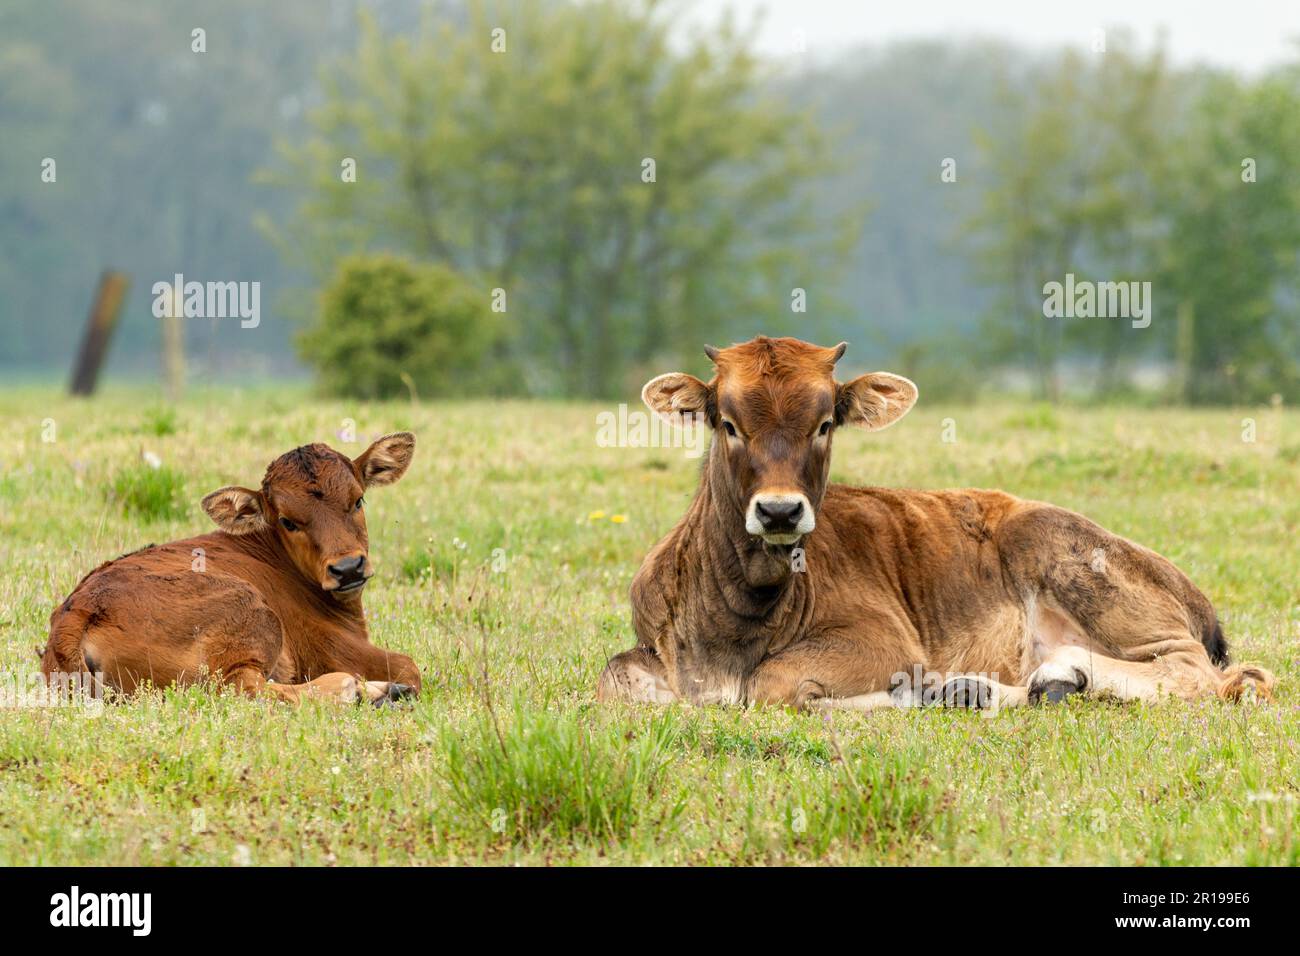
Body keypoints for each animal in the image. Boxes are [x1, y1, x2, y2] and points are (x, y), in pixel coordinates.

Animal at [41, 433, 422, 705]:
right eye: (287, 521)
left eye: (358, 500)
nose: (348, 568)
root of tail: (77, 611)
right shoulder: (329, 647)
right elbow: (409, 666)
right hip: (253, 615)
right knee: (244, 688)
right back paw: (369, 691)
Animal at [597, 337, 1274, 711]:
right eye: (729, 423)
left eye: (825, 423)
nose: (780, 511)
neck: (735, 618)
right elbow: (614, 677)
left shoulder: (884, 639)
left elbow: (773, 685)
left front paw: (912, 694)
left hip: (1078, 565)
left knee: (1204, 671)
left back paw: (1051, 676)